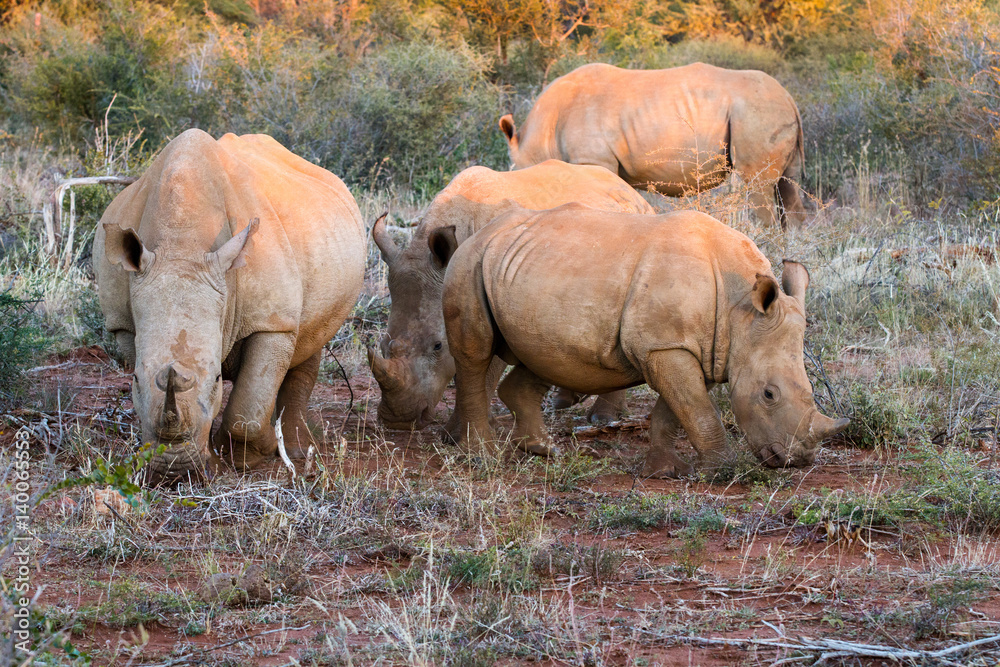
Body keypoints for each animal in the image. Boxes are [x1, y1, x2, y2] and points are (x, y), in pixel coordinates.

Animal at [94, 129, 366, 483]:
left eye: (215, 381)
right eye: (135, 379)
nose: (174, 470)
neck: (180, 244)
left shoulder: (273, 321)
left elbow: (247, 413)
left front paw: (246, 456)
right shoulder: (123, 322)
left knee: (310, 341)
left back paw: (294, 449)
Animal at [369, 160, 654, 434]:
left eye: (438, 346)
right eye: (381, 344)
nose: (399, 421)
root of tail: (632, 192)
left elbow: (482, 371)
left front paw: (458, 433)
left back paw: (603, 418)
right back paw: (564, 401)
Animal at [439, 205, 848, 471]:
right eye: (768, 395)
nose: (796, 461)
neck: (741, 312)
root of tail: (480, 232)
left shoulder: (698, 348)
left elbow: (678, 409)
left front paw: (665, 471)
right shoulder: (665, 346)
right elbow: (698, 410)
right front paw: (723, 469)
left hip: (529, 270)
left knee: (543, 355)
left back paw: (543, 451)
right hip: (469, 262)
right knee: (475, 355)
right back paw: (482, 457)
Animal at [499, 62, 806, 229]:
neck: (540, 135)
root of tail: (790, 98)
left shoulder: (593, 160)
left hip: (757, 113)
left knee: (758, 187)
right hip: (771, 113)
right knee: (788, 187)